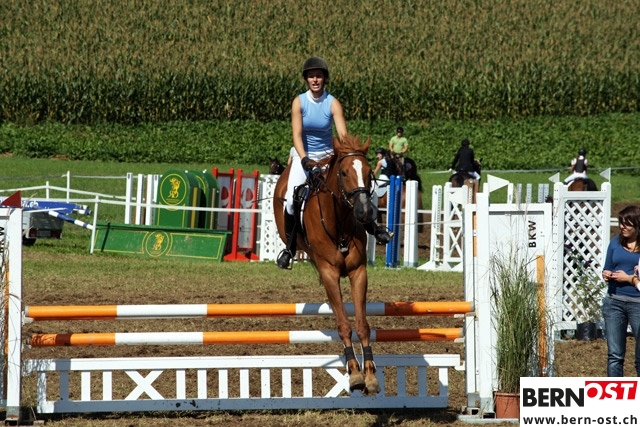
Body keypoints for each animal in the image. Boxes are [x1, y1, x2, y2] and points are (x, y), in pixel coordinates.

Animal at [273, 134, 380, 396]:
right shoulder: (330, 273)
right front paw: (355, 374)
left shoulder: (358, 272)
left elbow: (362, 324)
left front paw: (370, 375)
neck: (339, 222)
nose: (364, 211)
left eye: (369, 172)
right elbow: (343, 325)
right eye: (343, 173)